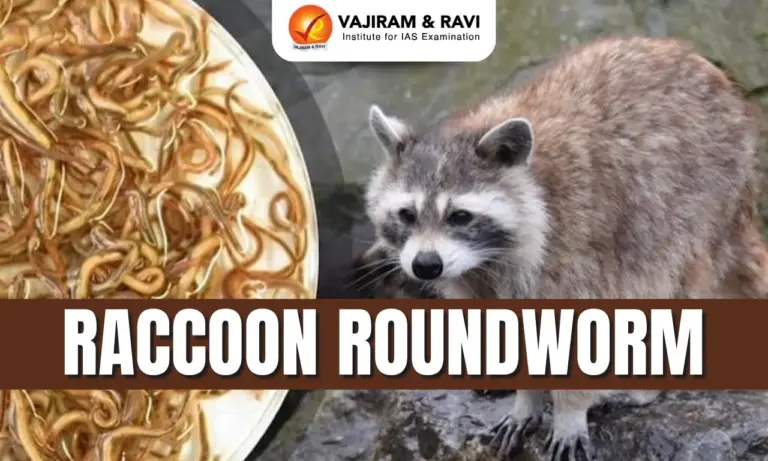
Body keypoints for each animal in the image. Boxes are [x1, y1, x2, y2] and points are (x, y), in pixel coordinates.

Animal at [362, 36, 766, 460]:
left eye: (459, 216)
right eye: (406, 214)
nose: (425, 266)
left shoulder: (576, 246)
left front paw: (569, 411)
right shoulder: (475, 282)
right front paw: (526, 400)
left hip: (702, 207)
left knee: (675, 280)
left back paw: (646, 387)